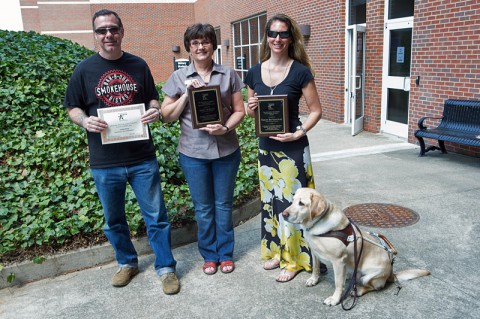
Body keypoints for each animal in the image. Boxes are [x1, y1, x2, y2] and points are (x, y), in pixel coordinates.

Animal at [284, 189, 430, 306]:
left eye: (301, 203)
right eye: (293, 201)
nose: (283, 214)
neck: (316, 225)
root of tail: (391, 274)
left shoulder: (338, 260)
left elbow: (338, 283)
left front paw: (335, 299)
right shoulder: (315, 252)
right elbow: (315, 268)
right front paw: (313, 280)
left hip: (369, 276)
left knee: (372, 287)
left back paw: (358, 290)